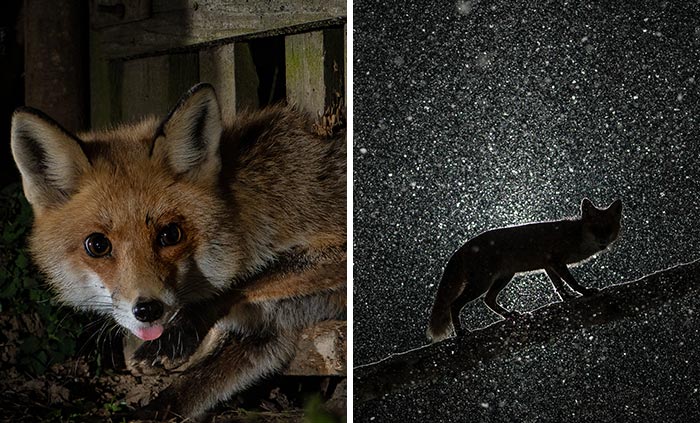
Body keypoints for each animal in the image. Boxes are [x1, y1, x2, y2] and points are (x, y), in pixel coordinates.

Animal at [10, 83, 346, 418]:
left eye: (170, 234)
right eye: (97, 245)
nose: (147, 310)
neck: (246, 211)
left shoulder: (336, 243)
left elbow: (245, 283)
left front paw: (179, 331)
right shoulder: (266, 334)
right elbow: (182, 394)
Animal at [427, 198, 622, 343]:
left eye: (608, 229)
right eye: (595, 228)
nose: (603, 242)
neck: (576, 236)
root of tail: (462, 248)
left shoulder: (548, 265)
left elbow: (558, 286)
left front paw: (567, 298)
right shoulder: (557, 261)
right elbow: (571, 282)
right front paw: (585, 292)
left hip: (503, 278)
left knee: (488, 300)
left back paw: (508, 315)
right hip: (482, 283)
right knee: (454, 304)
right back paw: (460, 332)